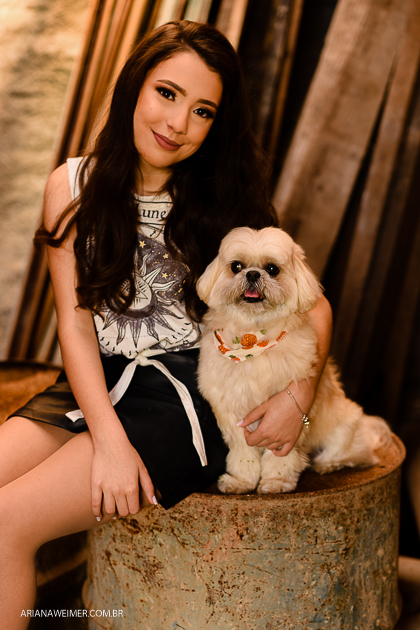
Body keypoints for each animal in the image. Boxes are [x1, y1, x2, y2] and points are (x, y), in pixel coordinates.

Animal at [196, 226, 391, 495]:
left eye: (272, 269)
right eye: (236, 266)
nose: (252, 273)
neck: (253, 336)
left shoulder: (285, 420)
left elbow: (281, 456)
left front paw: (276, 481)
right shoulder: (233, 412)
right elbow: (242, 453)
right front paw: (242, 481)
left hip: (344, 425)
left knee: (356, 452)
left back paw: (329, 464)